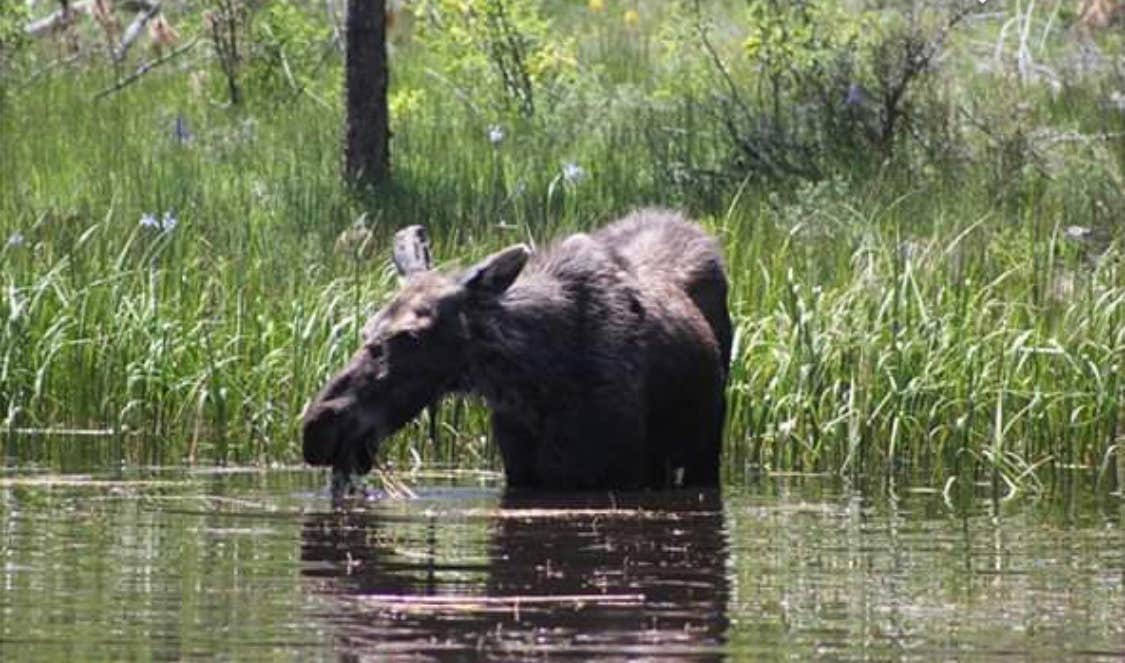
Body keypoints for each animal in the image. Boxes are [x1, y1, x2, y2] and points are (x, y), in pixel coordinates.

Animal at [303, 209, 733, 488]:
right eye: (366, 328)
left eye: (411, 336)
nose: (318, 426)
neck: (531, 380)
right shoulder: (520, 471)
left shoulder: (614, 472)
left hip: (705, 448)